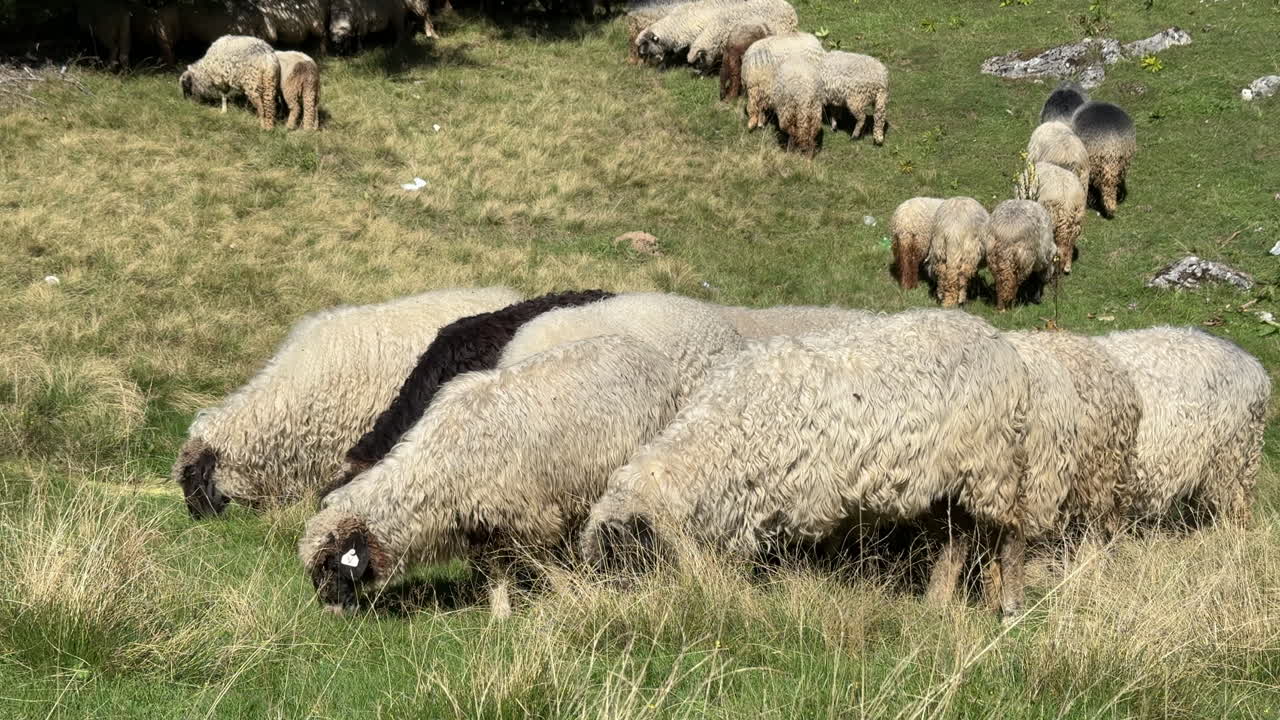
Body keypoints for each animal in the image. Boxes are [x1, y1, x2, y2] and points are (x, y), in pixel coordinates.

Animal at [300, 334, 682, 617]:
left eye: (331, 564)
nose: (332, 612)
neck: (437, 464)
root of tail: (649, 352)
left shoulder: (528, 514)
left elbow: (542, 562)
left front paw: (569, 592)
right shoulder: (482, 524)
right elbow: (495, 569)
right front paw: (500, 614)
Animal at [581, 309, 1032, 621]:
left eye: (625, 560)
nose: (616, 615)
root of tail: (994, 337)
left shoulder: (795, 500)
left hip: (992, 463)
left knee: (1010, 535)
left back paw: (1010, 608)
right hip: (947, 482)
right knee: (957, 540)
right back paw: (935, 606)